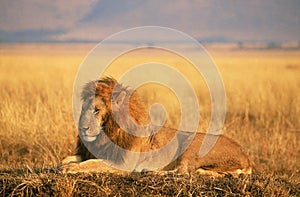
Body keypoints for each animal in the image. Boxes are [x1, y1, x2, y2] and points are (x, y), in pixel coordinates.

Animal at [62, 76, 252, 176]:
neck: (107, 134)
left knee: (182, 171)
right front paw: (62, 165)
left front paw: (71, 168)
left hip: (192, 142)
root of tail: (246, 155)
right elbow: (70, 158)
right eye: (83, 108)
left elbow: (93, 163)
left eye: (97, 110)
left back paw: (151, 172)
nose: (82, 128)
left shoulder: (124, 163)